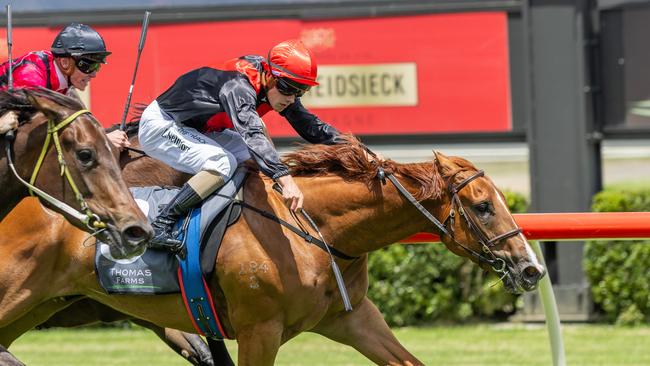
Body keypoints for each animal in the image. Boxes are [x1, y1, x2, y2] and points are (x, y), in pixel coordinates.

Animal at [0, 138, 540, 366]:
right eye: (483, 206)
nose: (531, 268)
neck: (314, 231)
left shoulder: (351, 319)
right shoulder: (259, 331)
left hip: (40, 306)